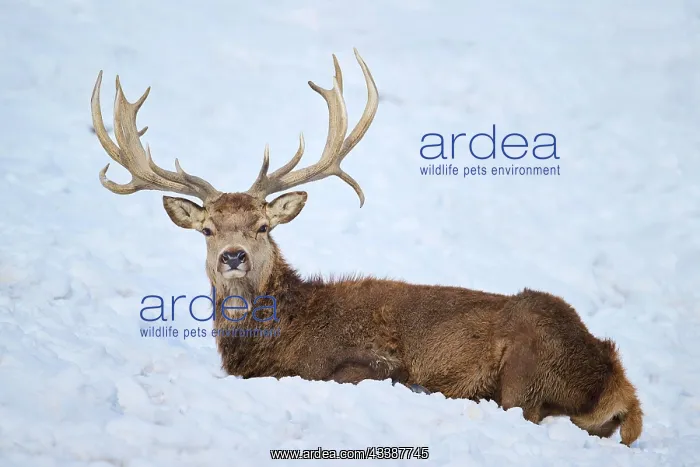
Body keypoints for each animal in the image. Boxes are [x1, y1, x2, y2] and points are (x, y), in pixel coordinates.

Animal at [89, 49, 643, 446]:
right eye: (207, 229)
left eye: (263, 226)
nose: (233, 256)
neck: (272, 339)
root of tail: (618, 382)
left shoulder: (368, 363)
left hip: (528, 362)